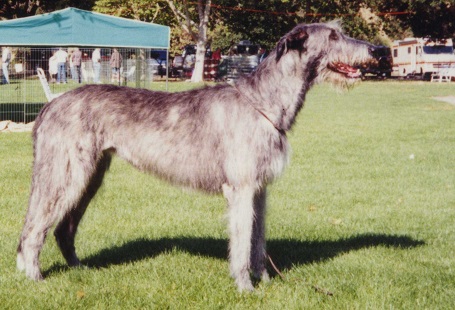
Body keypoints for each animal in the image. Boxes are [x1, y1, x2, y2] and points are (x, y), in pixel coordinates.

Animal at [16, 21, 378, 290]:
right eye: (333, 36)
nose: (377, 50)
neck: (264, 102)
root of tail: (50, 105)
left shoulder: (260, 189)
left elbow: (258, 240)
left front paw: (264, 279)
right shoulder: (241, 188)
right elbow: (242, 241)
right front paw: (245, 286)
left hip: (89, 175)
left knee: (63, 229)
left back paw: (81, 270)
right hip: (65, 174)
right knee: (34, 229)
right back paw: (35, 277)